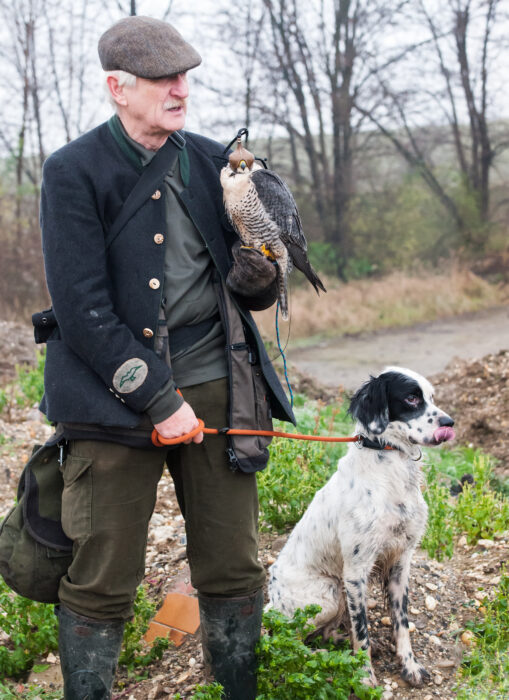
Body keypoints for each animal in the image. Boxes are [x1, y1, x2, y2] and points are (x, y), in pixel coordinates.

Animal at [268, 370, 454, 688]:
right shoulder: (356, 571)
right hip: (329, 593)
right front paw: (364, 677)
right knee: (286, 640)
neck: (391, 465)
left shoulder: (400, 561)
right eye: (411, 398)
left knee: (325, 633)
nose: (449, 423)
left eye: (432, 397)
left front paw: (410, 666)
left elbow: (401, 623)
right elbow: (362, 630)